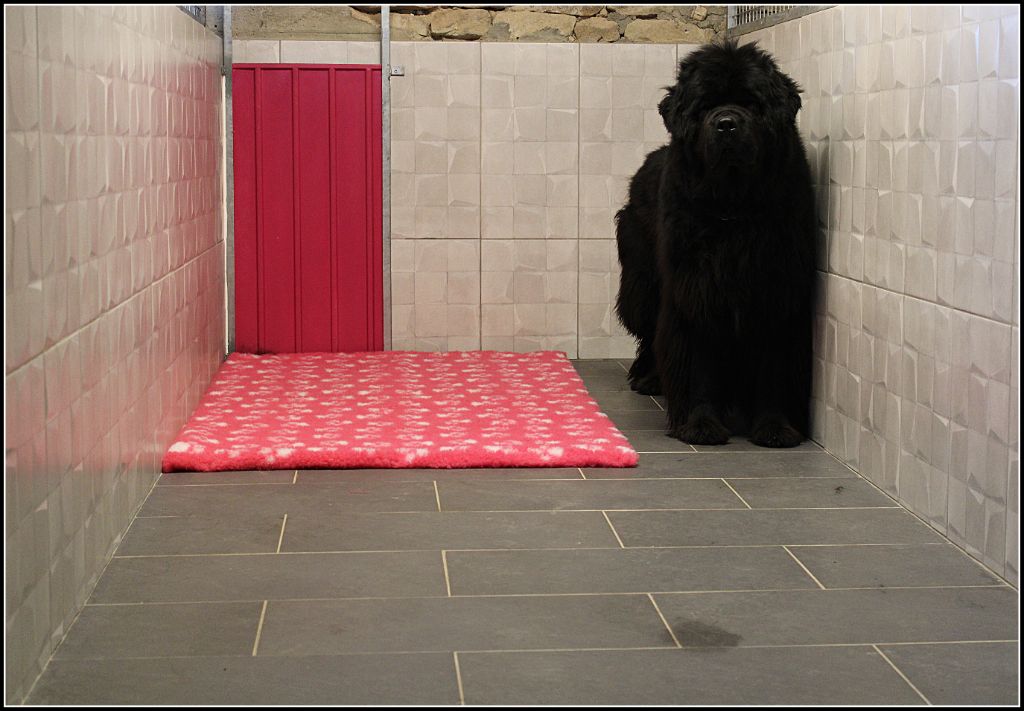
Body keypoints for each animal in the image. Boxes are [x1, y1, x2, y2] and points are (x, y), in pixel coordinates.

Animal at [614, 40, 817, 448]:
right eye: (705, 106)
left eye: (752, 103)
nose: (726, 124)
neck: (732, 209)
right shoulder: (695, 289)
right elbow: (698, 363)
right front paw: (700, 424)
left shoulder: (776, 291)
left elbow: (774, 367)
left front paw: (775, 427)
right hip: (643, 282)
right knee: (650, 331)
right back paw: (649, 378)